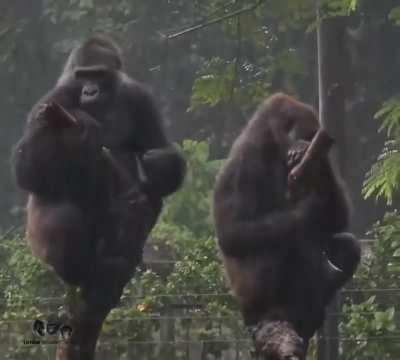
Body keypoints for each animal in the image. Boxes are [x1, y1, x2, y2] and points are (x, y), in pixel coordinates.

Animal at [13, 33, 185, 358]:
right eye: (83, 76)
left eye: (99, 75)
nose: (90, 91)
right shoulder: (55, 98)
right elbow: (28, 169)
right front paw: (82, 129)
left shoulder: (140, 97)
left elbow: (158, 151)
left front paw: (155, 165)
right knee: (61, 212)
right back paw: (78, 270)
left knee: (145, 199)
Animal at [214, 93, 360, 360]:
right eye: (307, 134)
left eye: (313, 138)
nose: (310, 147)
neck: (269, 143)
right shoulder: (242, 163)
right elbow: (232, 234)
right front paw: (310, 208)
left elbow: (336, 220)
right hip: (247, 300)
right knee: (276, 244)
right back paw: (267, 313)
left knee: (344, 245)